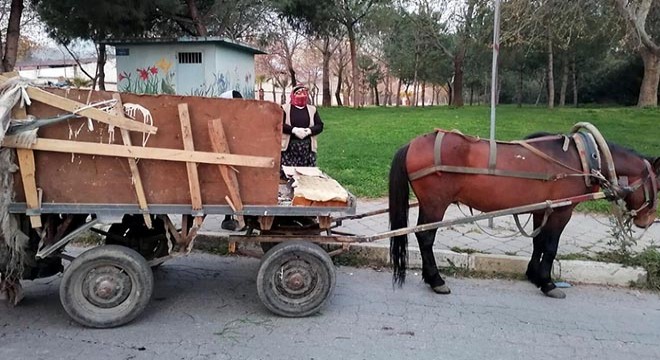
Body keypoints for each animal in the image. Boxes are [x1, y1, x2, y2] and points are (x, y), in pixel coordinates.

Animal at [390, 129, 660, 298]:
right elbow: (550, 246)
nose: (647, 220)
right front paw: (548, 283)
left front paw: (534, 275)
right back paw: (436, 280)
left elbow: (538, 242)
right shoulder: (562, 210)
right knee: (425, 238)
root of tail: (413, 144)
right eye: (658, 184)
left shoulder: (544, 207)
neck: (585, 159)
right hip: (435, 204)